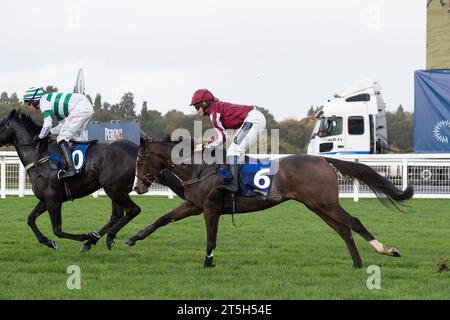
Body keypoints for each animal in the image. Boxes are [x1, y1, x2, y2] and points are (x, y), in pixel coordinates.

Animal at [0, 110, 141, 250]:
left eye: (1, 123)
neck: (40, 158)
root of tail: (136, 149)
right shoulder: (45, 200)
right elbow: (30, 219)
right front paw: (47, 241)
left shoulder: (53, 200)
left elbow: (57, 230)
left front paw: (84, 236)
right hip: (117, 190)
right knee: (116, 216)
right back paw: (94, 241)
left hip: (114, 189)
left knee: (133, 210)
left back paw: (105, 237)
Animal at [127, 137, 414, 268]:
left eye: (139, 161)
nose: (138, 187)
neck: (200, 168)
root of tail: (324, 159)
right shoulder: (193, 205)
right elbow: (161, 220)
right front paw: (133, 238)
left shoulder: (210, 209)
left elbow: (211, 238)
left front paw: (208, 263)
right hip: (317, 206)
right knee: (343, 229)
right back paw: (357, 263)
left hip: (325, 204)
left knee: (353, 222)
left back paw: (386, 250)